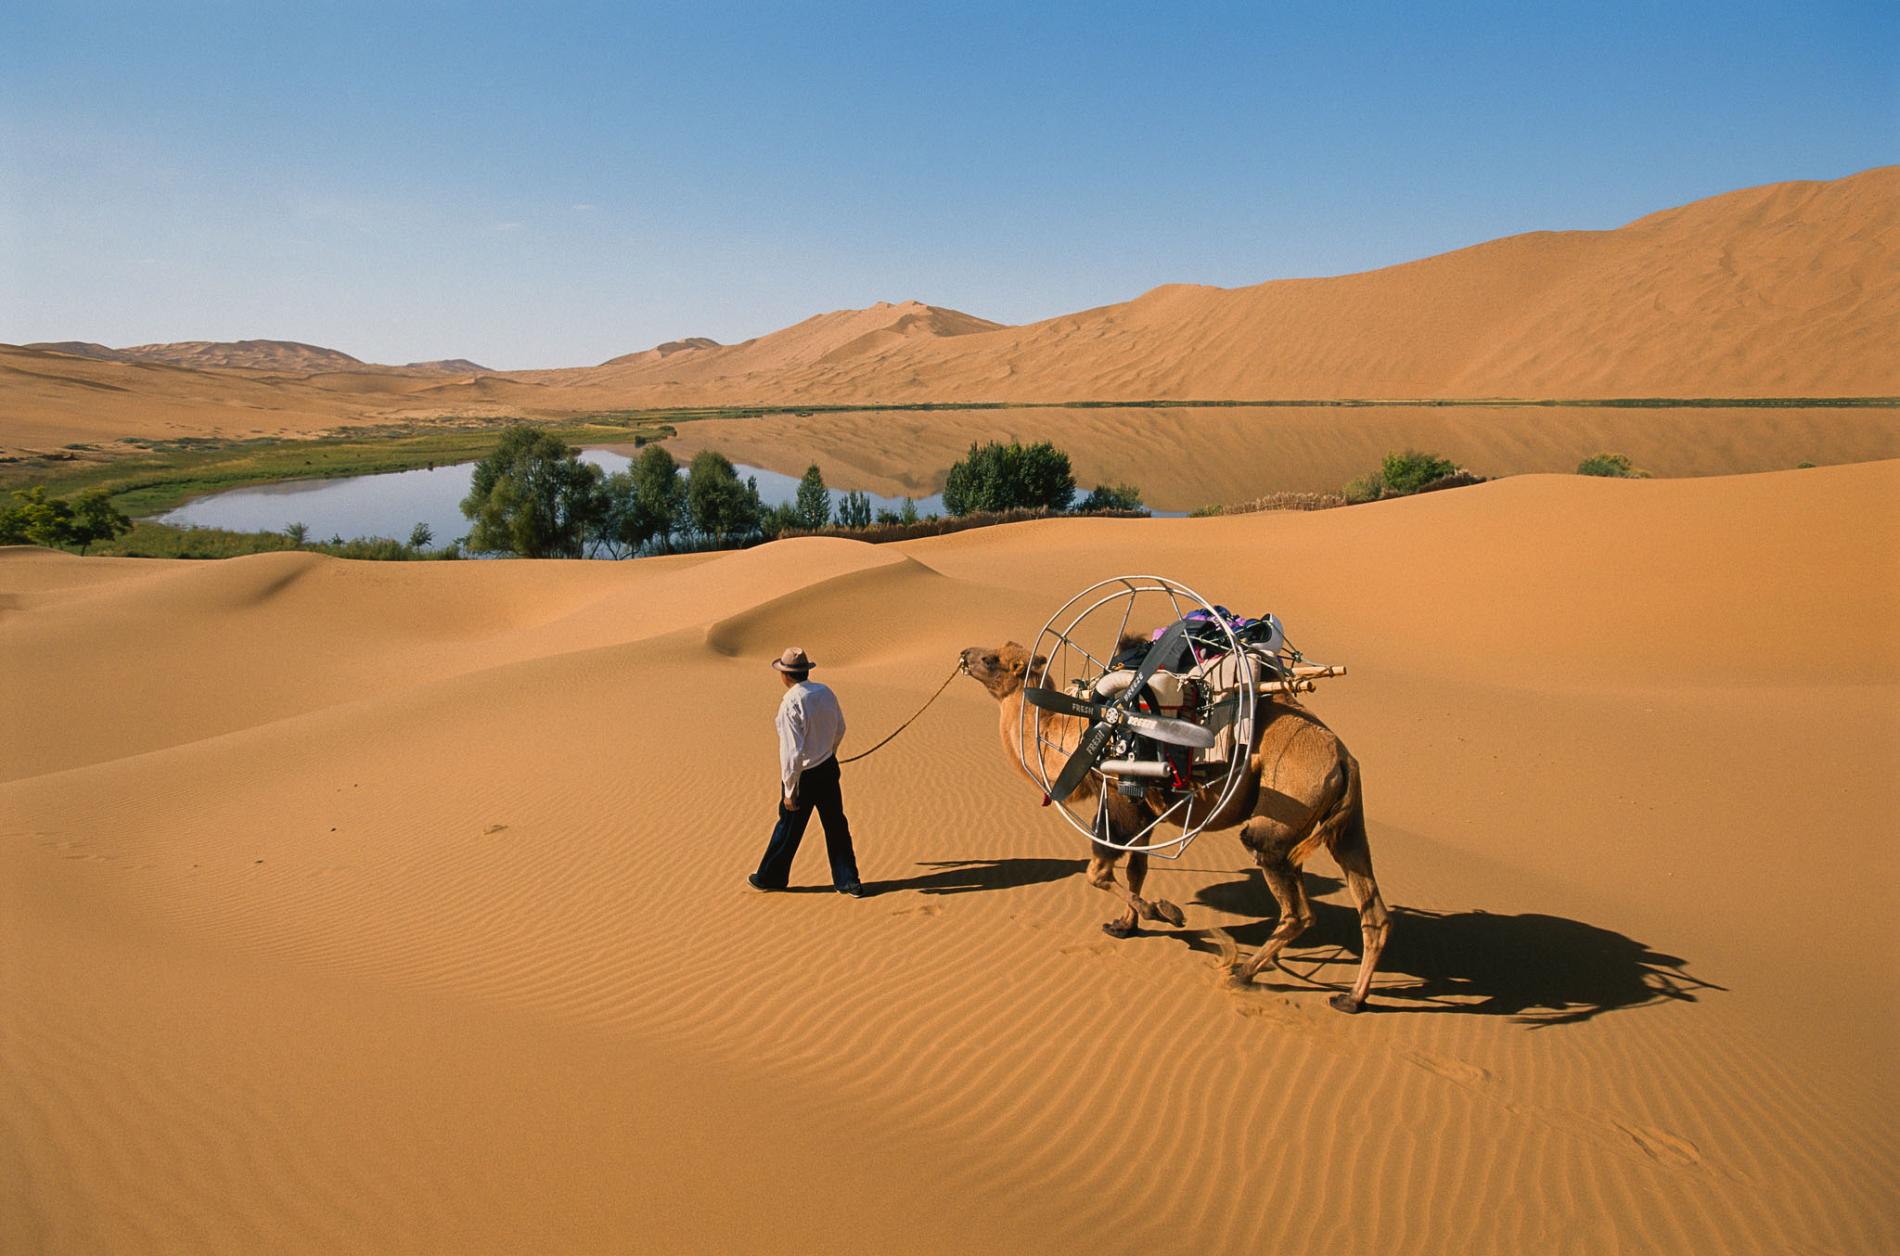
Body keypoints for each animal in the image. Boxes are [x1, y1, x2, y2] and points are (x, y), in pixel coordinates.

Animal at [957, 642, 1390, 1010]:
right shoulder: (1142, 810)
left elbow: (1098, 872)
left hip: (1277, 822)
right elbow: (1137, 867)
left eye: (993, 660)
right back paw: (1351, 999)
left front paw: (1165, 912)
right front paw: (1124, 925)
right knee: (1373, 909)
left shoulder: (1117, 799)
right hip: (1349, 829)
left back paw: (1241, 973)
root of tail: (1344, 759)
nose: (964, 654)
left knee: (1297, 909)